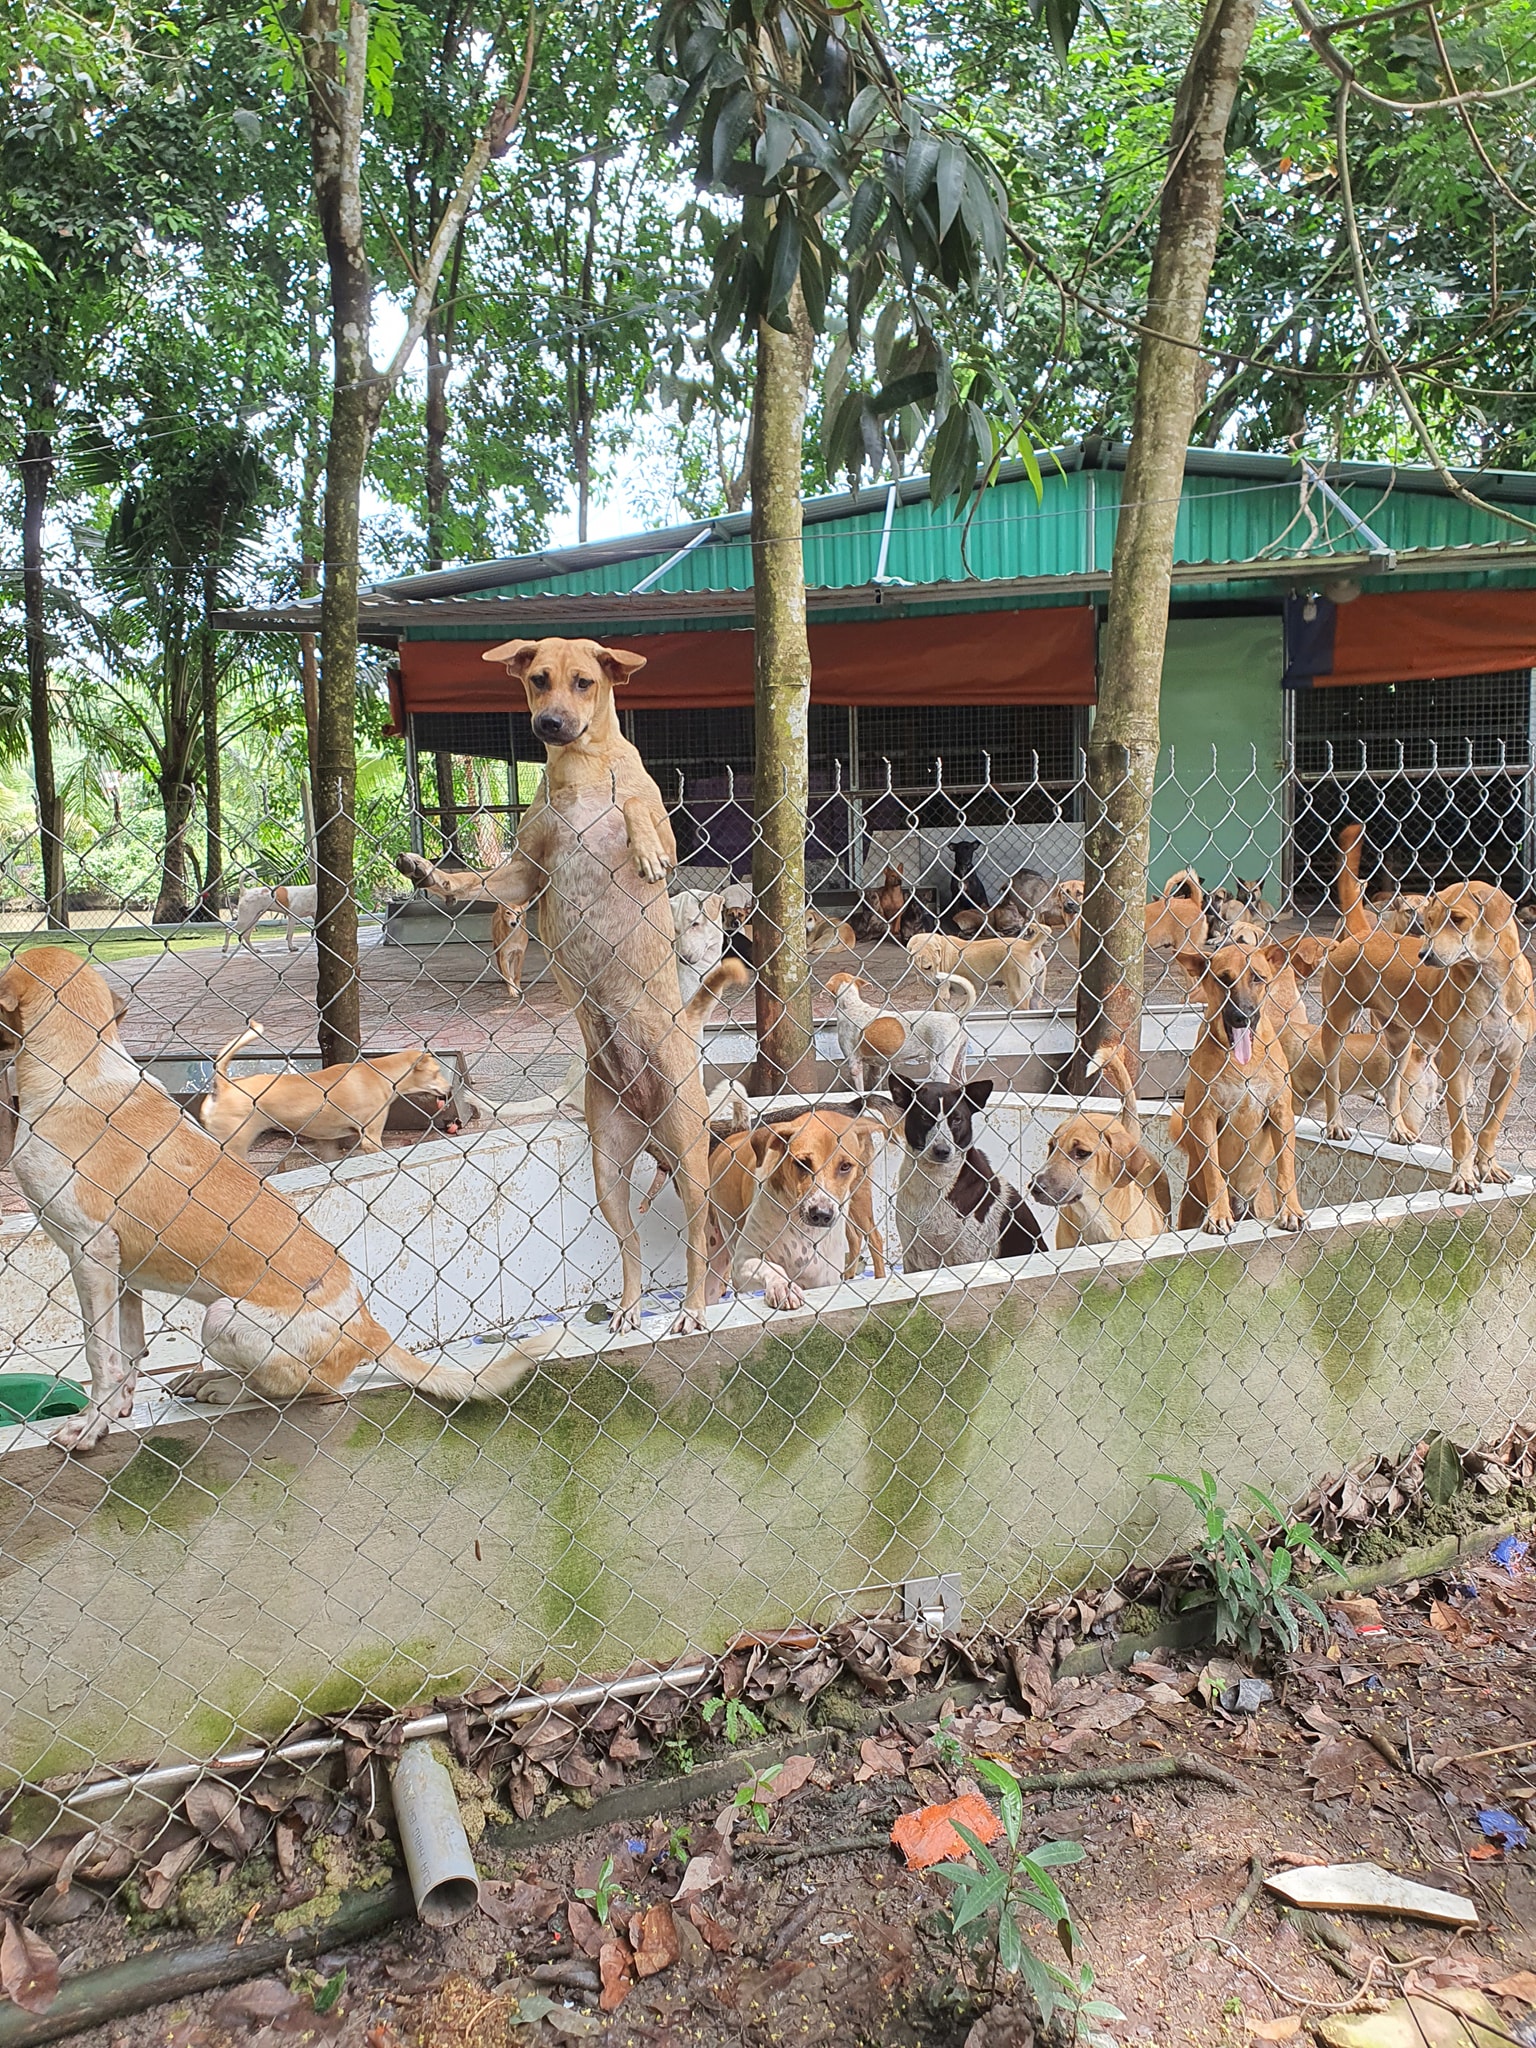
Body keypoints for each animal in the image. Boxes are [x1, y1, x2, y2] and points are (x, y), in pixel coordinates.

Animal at [196, 1019, 456, 1163]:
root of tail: (225, 1084)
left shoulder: (327, 1142)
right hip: (235, 1143)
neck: (381, 1073)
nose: (451, 1087)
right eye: (436, 1072)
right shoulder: (371, 1137)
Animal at [831, 966, 974, 1097]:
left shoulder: (854, 1065)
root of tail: (955, 1017)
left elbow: (859, 1089)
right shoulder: (876, 1067)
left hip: (939, 1066)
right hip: (958, 1064)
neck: (852, 1005)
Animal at [888, 1081, 1048, 1269]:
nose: (942, 1151)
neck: (934, 1183)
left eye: (957, 1119)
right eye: (925, 1116)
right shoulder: (912, 1258)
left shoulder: (967, 1256)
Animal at [1171, 937, 1302, 1228]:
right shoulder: (1206, 1118)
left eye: (1257, 977)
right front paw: (1219, 1214)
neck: (1243, 1064)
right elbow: (1213, 1172)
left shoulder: (1280, 1113)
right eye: (1224, 979)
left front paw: (1292, 1210)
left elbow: (1286, 1169)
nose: (1243, 1016)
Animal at [1327, 823, 1536, 1196]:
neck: (1491, 983)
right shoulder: (1457, 1066)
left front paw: (1488, 1167)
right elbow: (1462, 1131)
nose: (1425, 955)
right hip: (1337, 1027)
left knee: (1392, 1089)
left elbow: (1491, 1125)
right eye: (1429, 920)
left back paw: (1398, 1129)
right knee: (1332, 1084)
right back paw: (1335, 1124)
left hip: (1399, 1041)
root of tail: (1365, 933)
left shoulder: (1509, 1067)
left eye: (1459, 919)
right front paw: (1463, 1176)